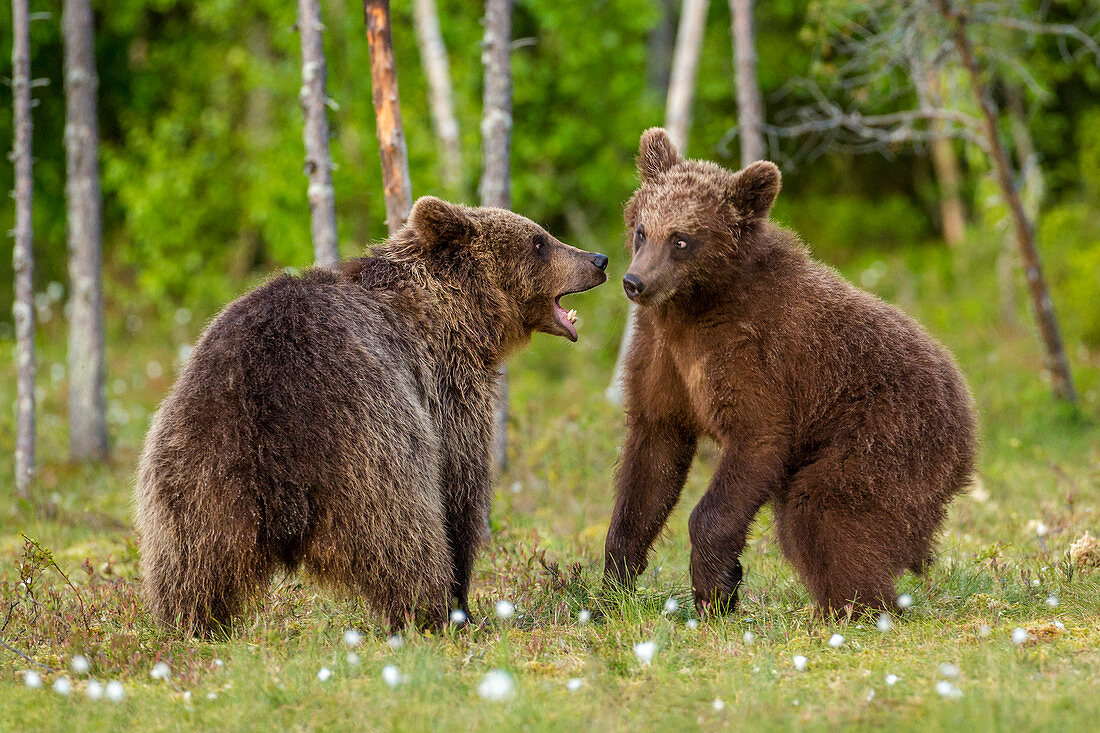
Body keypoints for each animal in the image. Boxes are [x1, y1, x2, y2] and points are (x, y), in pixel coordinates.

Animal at [137, 195, 611, 633]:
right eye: (539, 241)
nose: (599, 259)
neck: (459, 316)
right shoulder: (446, 390)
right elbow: (461, 489)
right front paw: (464, 602)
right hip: (368, 445)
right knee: (406, 538)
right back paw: (431, 614)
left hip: (197, 462)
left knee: (190, 563)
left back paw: (192, 623)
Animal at [607, 128, 976, 611]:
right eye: (642, 230)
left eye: (682, 239)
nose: (636, 283)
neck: (694, 307)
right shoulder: (662, 359)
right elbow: (652, 464)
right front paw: (615, 582)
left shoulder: (752, 358)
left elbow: (756, 439)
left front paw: (716, 588)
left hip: (885, 431)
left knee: (823, 510)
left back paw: (855, 605)